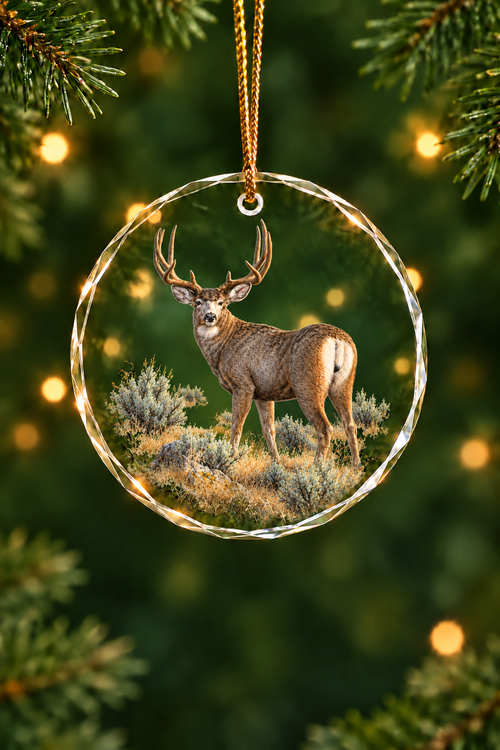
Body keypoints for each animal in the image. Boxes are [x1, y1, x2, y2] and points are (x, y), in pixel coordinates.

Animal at [153, 220, 359, 467]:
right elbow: (269, 429)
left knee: (325, 427)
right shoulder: (264, 392)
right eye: (198, 302)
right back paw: (356, 467)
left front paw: (229, 458)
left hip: (308, 382)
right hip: (345, 381)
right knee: (350, 424)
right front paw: (276, 463)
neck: (223, 348)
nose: (210, 316)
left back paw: (316, 468)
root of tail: (338, 340)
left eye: (222, 303)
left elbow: (237, 425)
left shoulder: (243, 383)